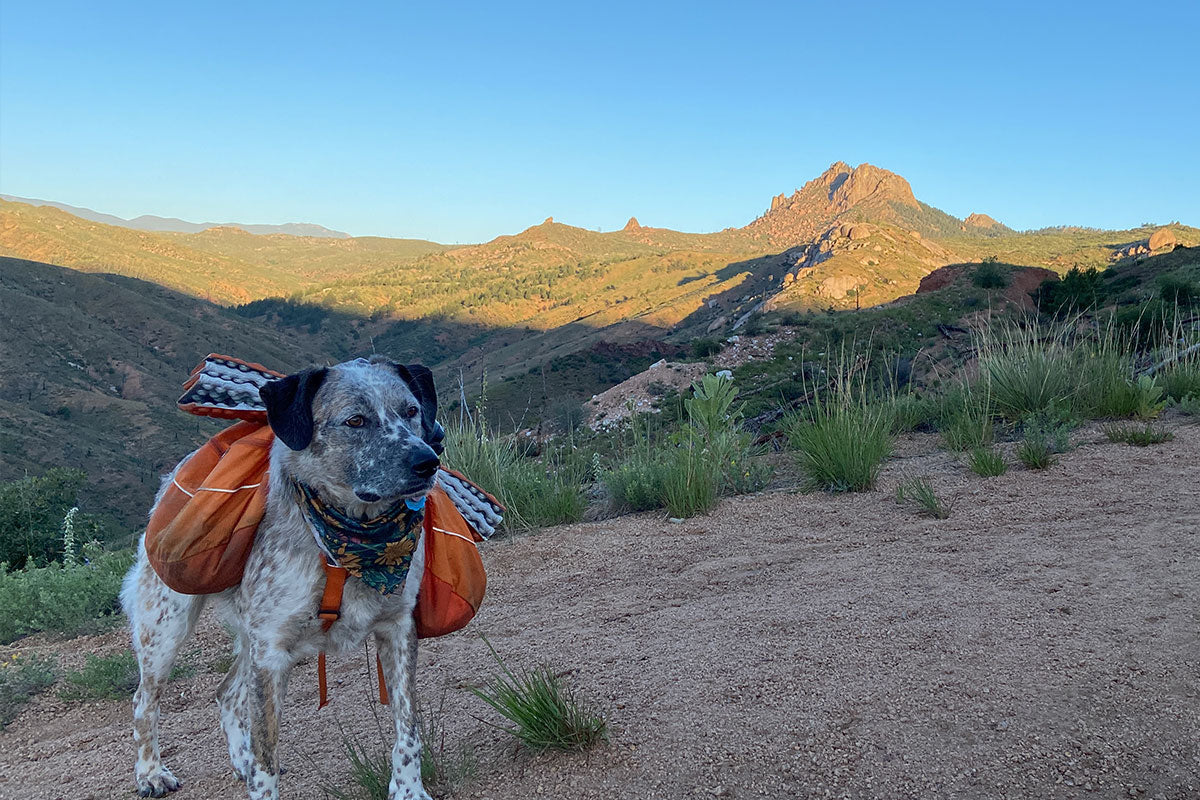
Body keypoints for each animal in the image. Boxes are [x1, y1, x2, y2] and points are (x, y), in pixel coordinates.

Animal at [121, 357, 446, 800]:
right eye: (355, 420)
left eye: (412, 411)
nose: (429, 459)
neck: (345, 543)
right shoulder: (272, 652)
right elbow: (267, 762)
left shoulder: (397, 629)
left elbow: (408, 732)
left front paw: (410, 790)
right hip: (166, 629)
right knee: (144, 702)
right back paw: (151, 773)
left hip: (248, 639)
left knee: (227, 692)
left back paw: (238, 759)